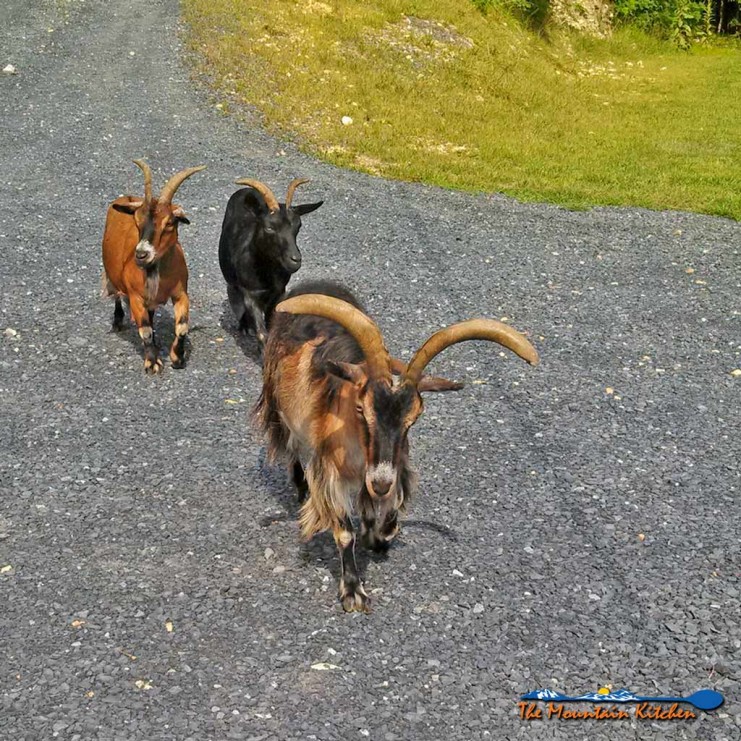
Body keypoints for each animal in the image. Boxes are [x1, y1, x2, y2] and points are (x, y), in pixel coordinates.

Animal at [101, 160, 205, 373]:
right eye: (137, 221)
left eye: (170, 223)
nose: (141, 254)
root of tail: (126, 197)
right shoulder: (135, 297)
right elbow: (145, 330)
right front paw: (152, 363)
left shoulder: (181, 293)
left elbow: (182, 327)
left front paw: (178, 358)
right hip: (112, 276)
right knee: (117, 296)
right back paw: (118, 321)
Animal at [218, 178, 323, 349]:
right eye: (269, 227)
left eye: (298, 226)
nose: (295, 259)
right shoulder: (250, 293)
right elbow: (261, 332)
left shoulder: (279, 293)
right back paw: (245, 326)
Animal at [255, 280, 539, 612]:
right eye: (361, 409)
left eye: (414, 418)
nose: (380, 483)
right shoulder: (330, 472)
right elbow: (344, 532)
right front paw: (353, 591)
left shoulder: (394, 464)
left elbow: (388, 509)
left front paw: (378, 536)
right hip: (281, 411)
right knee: (292, 447)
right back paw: (301, 487)